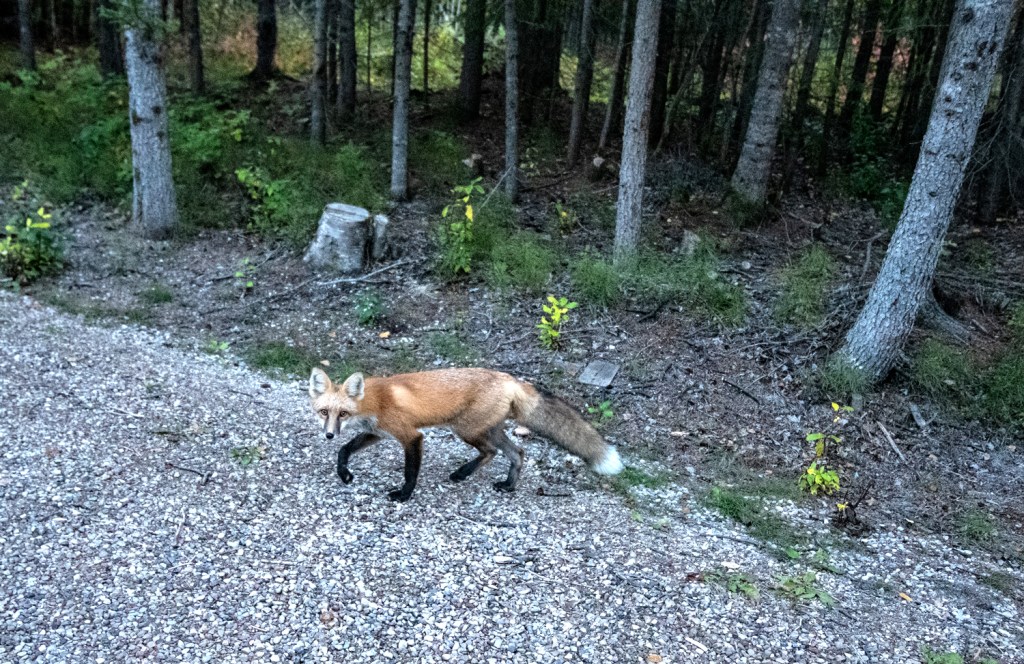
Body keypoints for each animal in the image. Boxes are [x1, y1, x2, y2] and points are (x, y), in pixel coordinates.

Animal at [308, 367, 624, 502]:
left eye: (343, 414)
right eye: (324, 412)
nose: (328, 436)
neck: (375, 401)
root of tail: (511, 379)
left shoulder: (410, 435)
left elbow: (411, 472)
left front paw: (404, 495)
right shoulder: (379, 432)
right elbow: (345, 450)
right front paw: (344, 473)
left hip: (466, 429)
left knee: (492, 452)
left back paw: (463, 473)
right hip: (488, 428)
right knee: (518, 453)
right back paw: (508, 485)